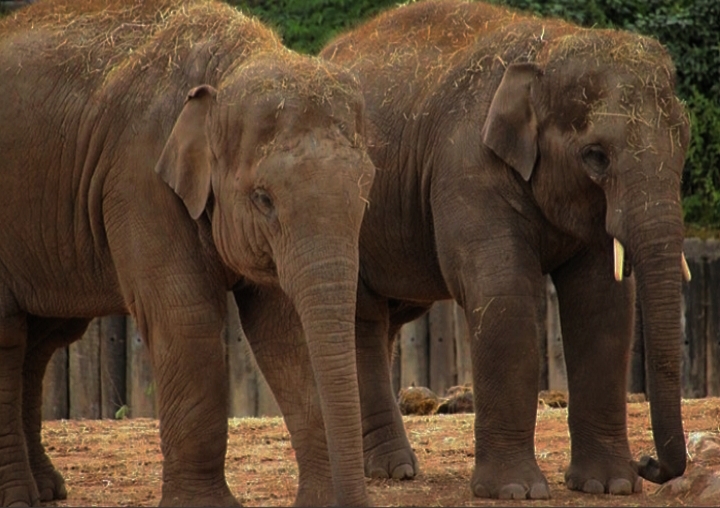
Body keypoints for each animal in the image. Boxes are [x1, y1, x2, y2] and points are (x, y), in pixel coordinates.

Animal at [0, 0, 374, 506]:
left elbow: (284, 331)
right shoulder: (136, 179)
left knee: (40, 340)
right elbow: (187, 317)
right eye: (263, 199)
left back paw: (46, 490)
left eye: (367, 187)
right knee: (11, 336)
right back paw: (20, 496)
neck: (228, 68)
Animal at [239, 0, 692, 502]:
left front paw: (608, 486)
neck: (546, 47)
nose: (650, 463)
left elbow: (602, 304)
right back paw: (391, 471)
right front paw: (515, 491)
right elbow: (503, 294)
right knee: (361, 318)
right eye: (596, 155)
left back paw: (389, 468)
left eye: (686, 142)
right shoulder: (467, 164)